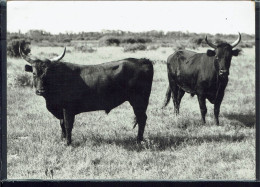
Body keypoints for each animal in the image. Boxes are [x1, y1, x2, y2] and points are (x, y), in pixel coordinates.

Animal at [21, 46, 154, 145]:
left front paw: (68, 143)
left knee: (142, 119)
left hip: (138, 101)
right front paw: (62, 139)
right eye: (34, 73)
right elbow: (62, 124)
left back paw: (138, 141)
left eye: (47, 73)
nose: (40, 91)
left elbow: (68, 125)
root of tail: (142, 60)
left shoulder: (68, 109)